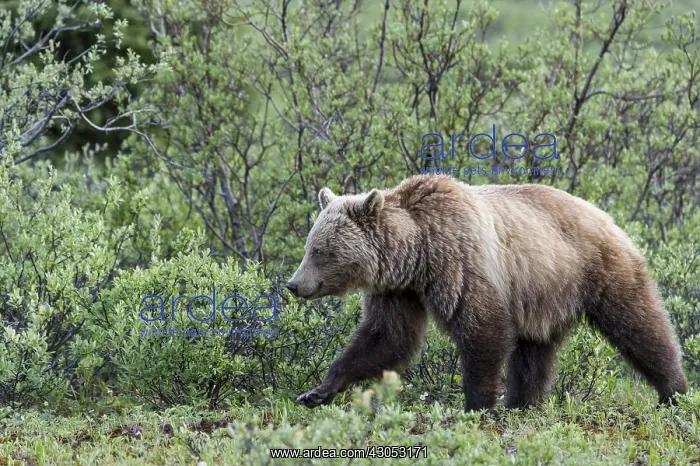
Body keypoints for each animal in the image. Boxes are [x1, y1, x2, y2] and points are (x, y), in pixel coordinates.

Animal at [286, 174, 688, 411]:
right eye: (309, 245)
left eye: (320, 251)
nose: (294, 284)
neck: (417, 253)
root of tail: (608, 215)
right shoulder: (398, 290)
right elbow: (385, 337)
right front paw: (318, 390)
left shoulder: (459, 263)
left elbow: (483, 329)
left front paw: (476, 404)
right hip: (542, 292)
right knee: (534, 352)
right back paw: (523, 402)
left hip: (597, 268)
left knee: (639, 324)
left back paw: (674, 390)